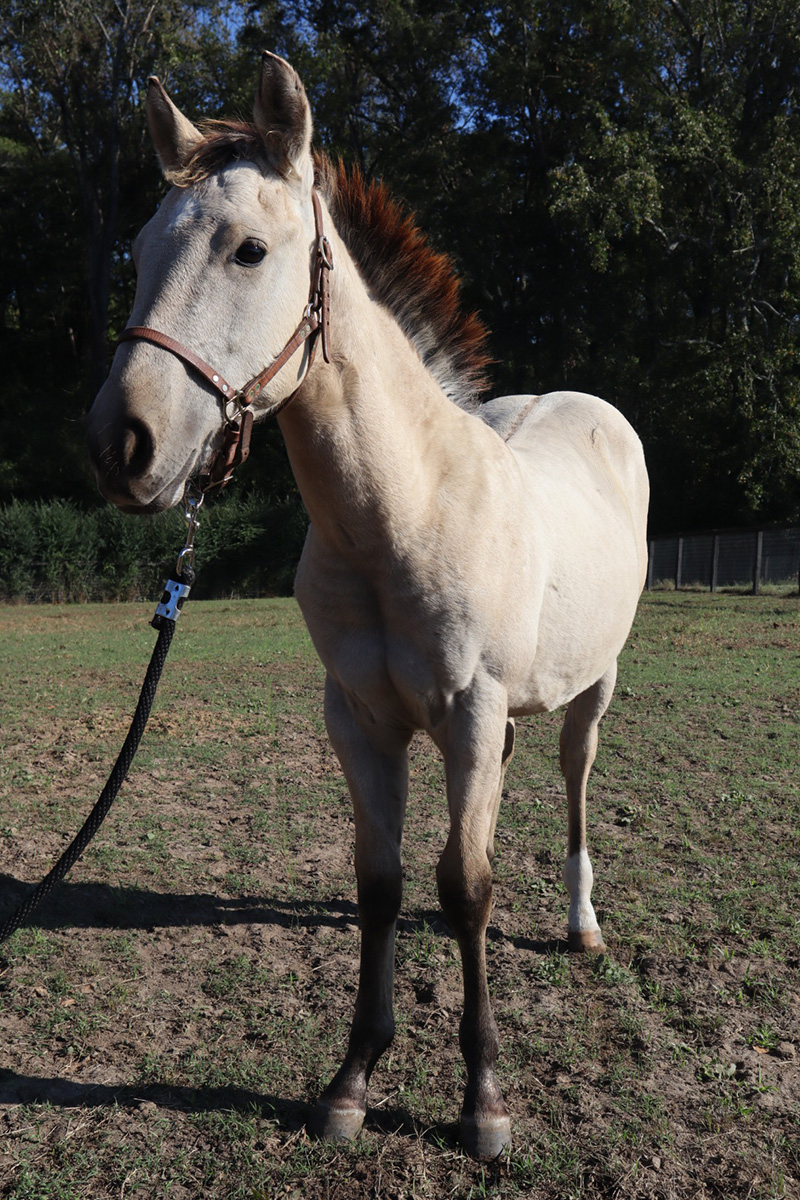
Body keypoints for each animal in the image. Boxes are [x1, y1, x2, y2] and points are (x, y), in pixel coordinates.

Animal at [86, 51, 652, 1156]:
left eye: (250, 249)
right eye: (133, 251)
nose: (122, 446)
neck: (407, 510)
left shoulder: (469, 712)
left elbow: (466, 886)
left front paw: (483, 1102)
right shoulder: (357, 719)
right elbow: (384, 884)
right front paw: (350, 1081)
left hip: (593, 687)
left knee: (571, 779)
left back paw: (580, 924)